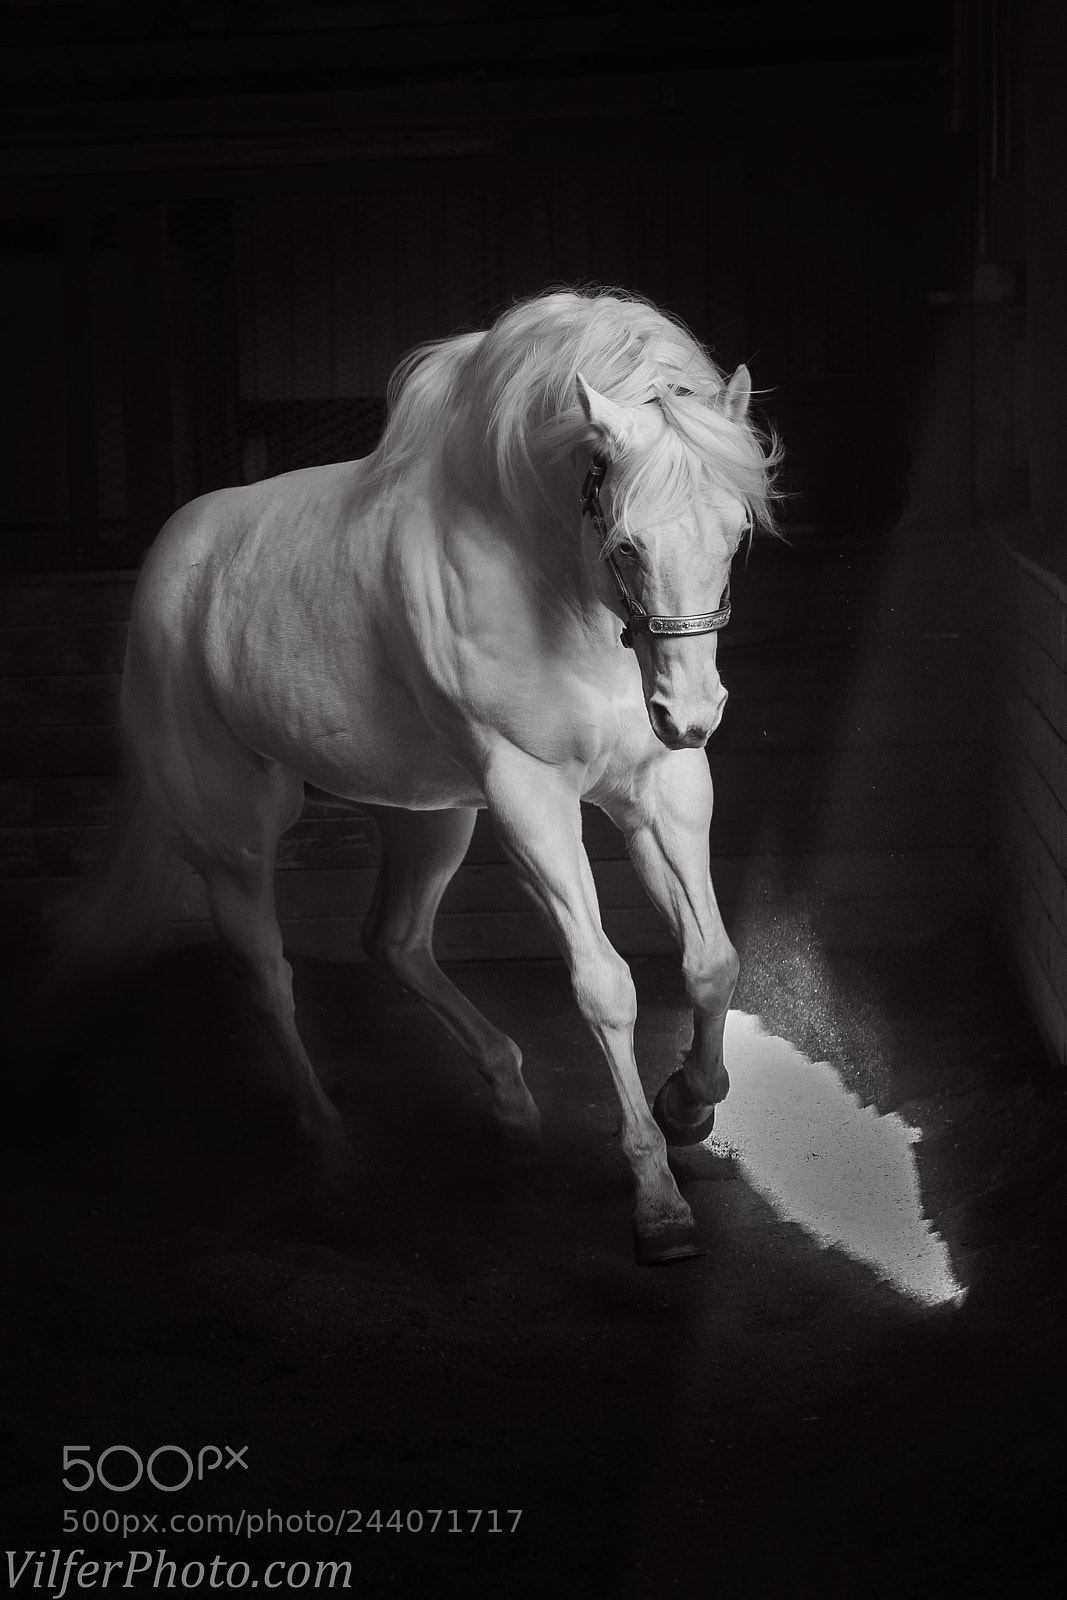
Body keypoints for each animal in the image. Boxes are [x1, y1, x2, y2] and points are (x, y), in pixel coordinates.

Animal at [58, 288, 780, 1265]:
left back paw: (510, 1109)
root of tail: (169, 567)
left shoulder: (660, 790)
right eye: (626, 546)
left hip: (426, 814)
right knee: (266, 973)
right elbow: (605, 986)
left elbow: (709, 962)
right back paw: (333, 1155)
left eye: (736, 534)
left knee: (393, 939)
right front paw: (656, 1202)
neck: (552, 583)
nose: (691, 714)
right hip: (234, 840)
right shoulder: (529, 800)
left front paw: (687, 1108)